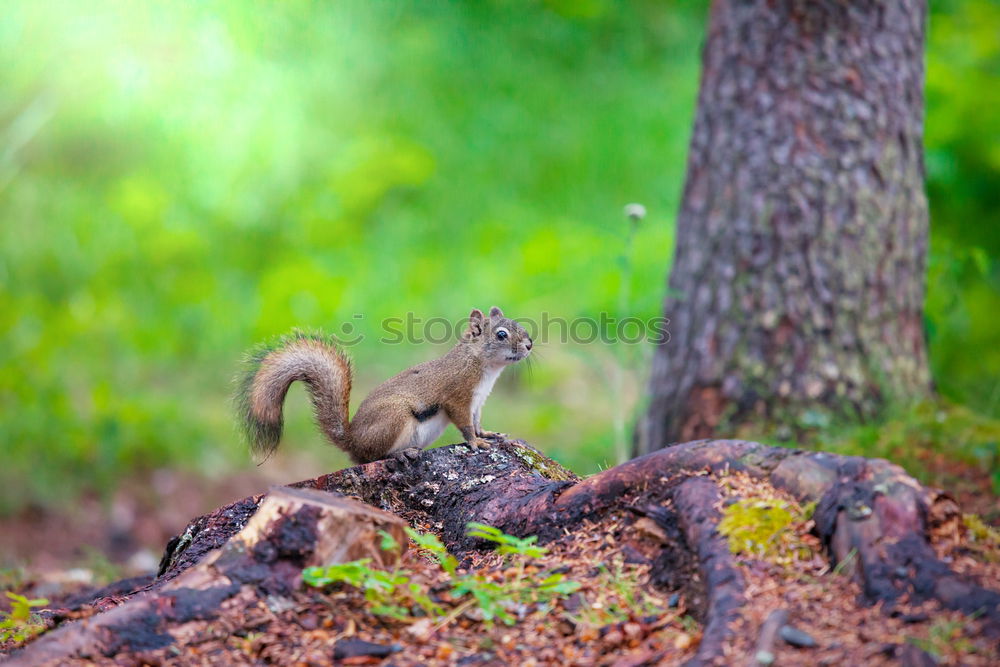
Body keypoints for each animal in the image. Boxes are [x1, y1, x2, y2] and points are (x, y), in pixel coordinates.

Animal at [236, 308, 532, 464]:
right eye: (501, 334)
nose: (530, 344)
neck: (482, 365)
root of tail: (353, 441)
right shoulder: (457, 396)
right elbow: (465, 425)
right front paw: (476, 443)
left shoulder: (478, 401)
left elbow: (478, 421)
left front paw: (489, 434)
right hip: (394, 417)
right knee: (374, 456)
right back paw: (401, 453)